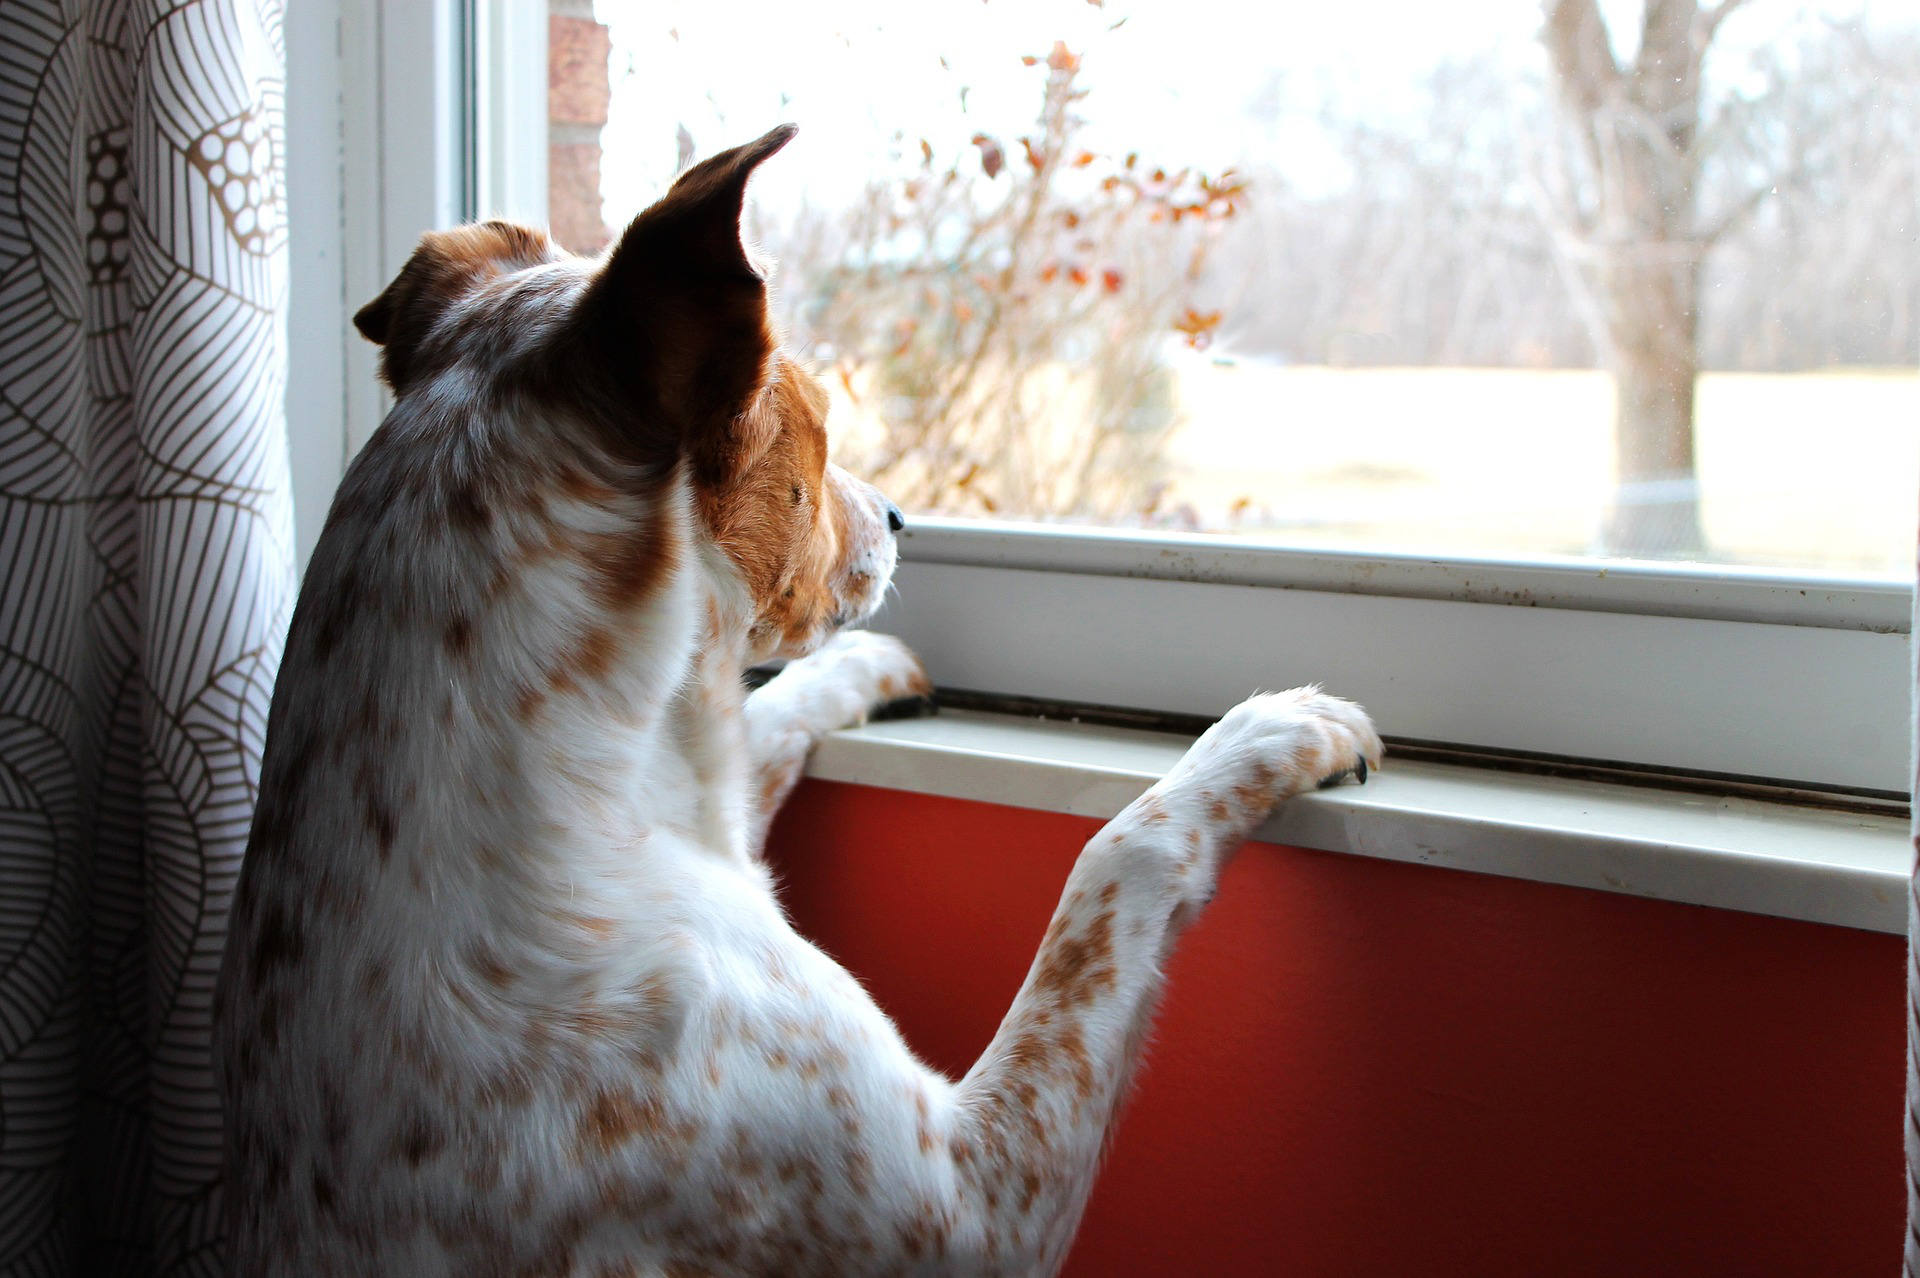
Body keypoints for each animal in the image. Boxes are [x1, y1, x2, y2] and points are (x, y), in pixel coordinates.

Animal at [214, 121, 1382, 1274]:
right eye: (817, 421)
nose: (904, 517)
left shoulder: (719, 797)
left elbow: (770, 715)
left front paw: (875, 671)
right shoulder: (975, 1207)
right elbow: (1118, 858)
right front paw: (1273, 731)